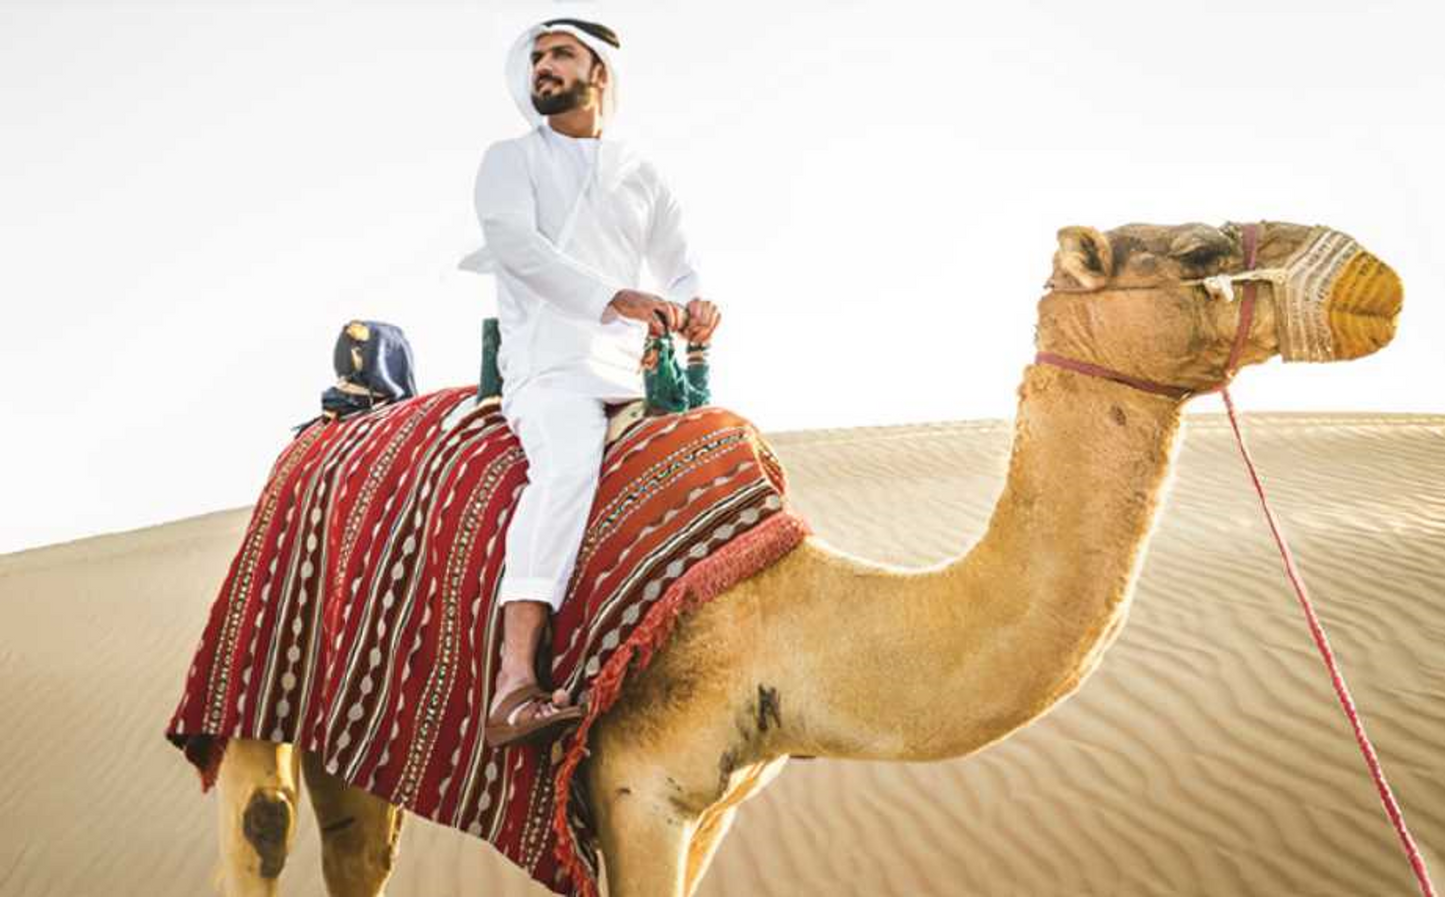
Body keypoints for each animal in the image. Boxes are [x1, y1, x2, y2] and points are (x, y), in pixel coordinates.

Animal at [210, 220, 1401, 897]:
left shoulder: (719, 804)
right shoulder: (635, 787)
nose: (1377, 285)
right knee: (262, 829)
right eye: (1200, 256)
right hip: (253, 665)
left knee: (359, 850)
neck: (789, 614)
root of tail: (334, 416)